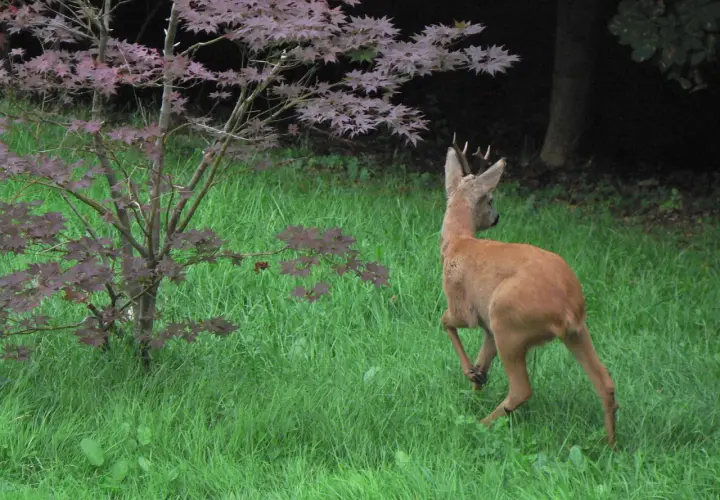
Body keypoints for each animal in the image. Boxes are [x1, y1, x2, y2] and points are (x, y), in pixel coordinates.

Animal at [439, 136, 618, 447]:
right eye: (491, 200)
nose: (497, 217)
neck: (457, 242)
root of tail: (568, 308)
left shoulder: (464, 308)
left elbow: (444, 321)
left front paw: (470, 376)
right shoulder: (487, 329)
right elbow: (483, 362)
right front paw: (475, 383)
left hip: (508, 322)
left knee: (521, 389)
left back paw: (480, 426)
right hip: (576, 331)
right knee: (605, 382)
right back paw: (611, 445)